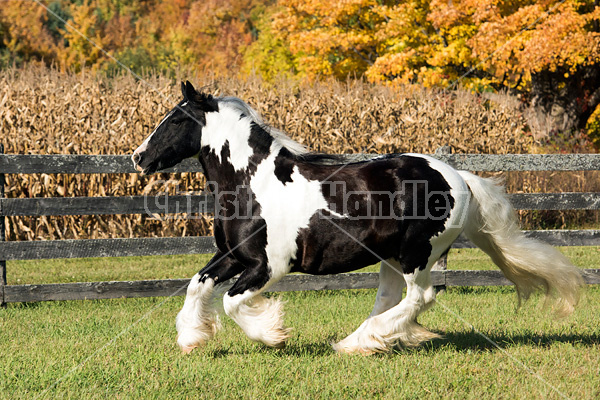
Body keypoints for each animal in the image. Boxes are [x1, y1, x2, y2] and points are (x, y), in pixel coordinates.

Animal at [134, 80, 584, 354]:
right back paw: (357, 343)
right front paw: (192, 339)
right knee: (392, 297)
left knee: (421, 296)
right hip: (392, 256)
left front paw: (273, 334)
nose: (139, 157)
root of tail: (457, 176)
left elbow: (231, 302)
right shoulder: (233, 256)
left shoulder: (269, 266)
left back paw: (369, 338)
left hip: (417, 253)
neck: (252, 183)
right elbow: (197, 285)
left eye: (176, 119)